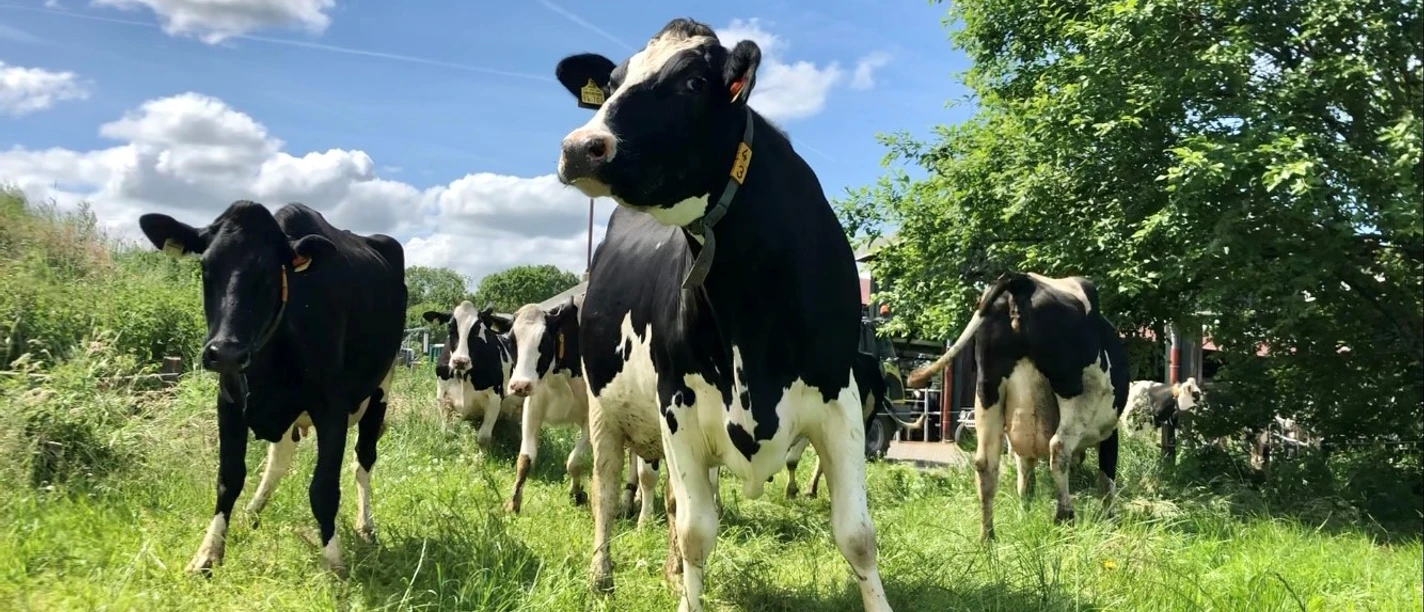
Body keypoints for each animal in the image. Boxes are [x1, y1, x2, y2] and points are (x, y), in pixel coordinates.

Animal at [137, 200, 405, 574]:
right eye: (206, 268)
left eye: (269, 274)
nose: (226, 352)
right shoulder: (229, 402)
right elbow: (229, 478)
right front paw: (208, 553)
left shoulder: (332, 408)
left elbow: (323, 488)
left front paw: (333, 561)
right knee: (279, 458)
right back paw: (253, 511)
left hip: (381, 387)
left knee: (363, 459)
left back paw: (365, 526)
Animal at [421, 302, 522, 448]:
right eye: (450, 326)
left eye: (477, 328)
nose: (460, 361)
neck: (464, 376)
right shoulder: (442, 394)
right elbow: (446, 431)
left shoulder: (495, 398)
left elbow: (483, 437)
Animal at [553, 18, 893, 611]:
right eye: (613, 82)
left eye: (693, 83)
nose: (580, 147)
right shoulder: (677, 405)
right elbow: (697, 531)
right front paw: (687, 595)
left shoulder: (841, 401)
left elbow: (857, 535)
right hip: (604, 408)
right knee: (605, 481)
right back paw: (601, 574)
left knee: (664, 497)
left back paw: (666, 570)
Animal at [907, 271, 1128, 542]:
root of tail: (1023, 280)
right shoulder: (1109, 432)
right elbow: (1106, 479)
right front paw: (1111, 520)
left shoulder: (1024, 446)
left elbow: (1025, 481)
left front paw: (1024, 516)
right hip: (1077, 394)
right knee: (1059, 449)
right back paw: (1064, 517)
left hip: (987, 393)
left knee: (985, 463)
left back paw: (988, 536)